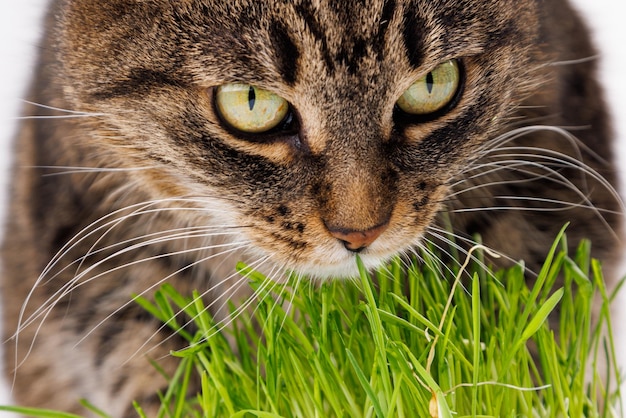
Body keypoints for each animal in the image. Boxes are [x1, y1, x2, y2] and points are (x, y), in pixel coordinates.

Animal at [1, 0, 620, 414]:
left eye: (433, 85)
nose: (361, 232)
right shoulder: (95, 234)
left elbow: (516, 312)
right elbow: (152, 350)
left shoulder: (551, 165)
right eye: (251, 102)